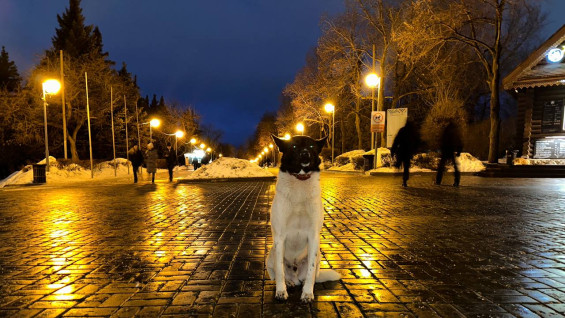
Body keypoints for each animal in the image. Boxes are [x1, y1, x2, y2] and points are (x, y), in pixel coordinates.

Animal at [268, 133, 342, 302]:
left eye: (311, 146)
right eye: (294, 146)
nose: (305, 153)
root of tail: (295, 276)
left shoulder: (314, 236)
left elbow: (310, 271)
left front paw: (308, 293)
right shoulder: (279, 237)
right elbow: (280, 271)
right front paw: (281, 291)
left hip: (318, 255)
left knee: (309, 275)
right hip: (271, 254)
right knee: (277, 272)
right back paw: (288, 282)